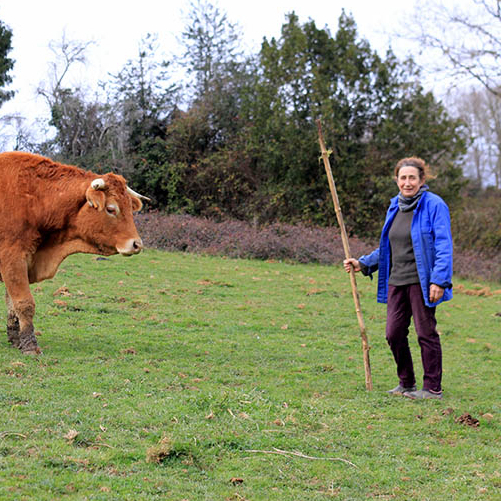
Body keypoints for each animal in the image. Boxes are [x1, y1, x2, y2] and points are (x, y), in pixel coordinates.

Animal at [0, 150, 148, 354]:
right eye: (111, 209)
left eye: (129, 209)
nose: (136, 244)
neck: (36, 199)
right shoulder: (12, 258)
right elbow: (24, 303)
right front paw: (30, 345)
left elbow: (12, 305)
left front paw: (16, 340)